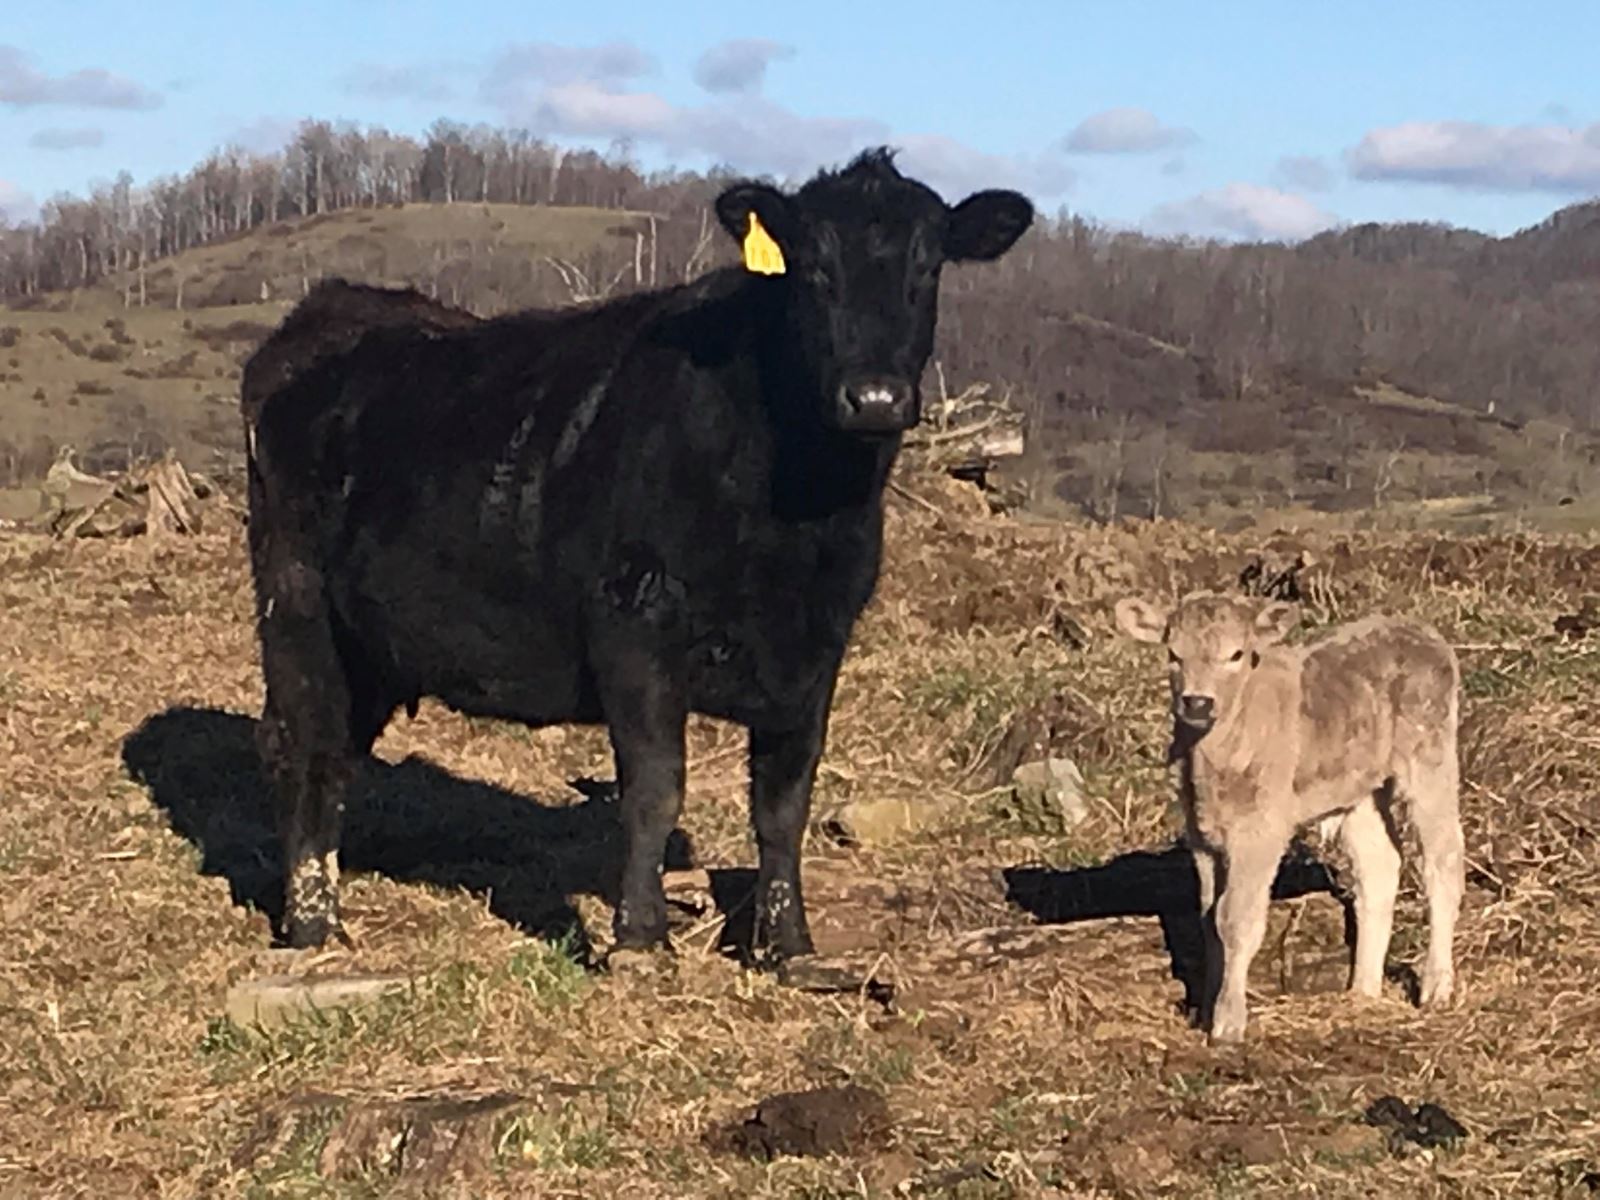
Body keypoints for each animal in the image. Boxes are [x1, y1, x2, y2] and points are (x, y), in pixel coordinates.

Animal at [241, 150, 1030, 966]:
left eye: (928, 266)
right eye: (812, 266)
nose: (873, 397)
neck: (796, 522)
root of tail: (333, 312)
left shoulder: (819, 643)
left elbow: (784, 801)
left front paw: (787, 945)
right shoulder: (634, 619)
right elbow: (657, 785)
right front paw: (641, 939)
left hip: (373, 643)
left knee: (336, 751)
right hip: (296, 602)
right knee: (305, 745)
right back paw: (312, 925)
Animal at [1113, 598, 1465, 1049]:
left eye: (1237, 654)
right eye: (1174, 654)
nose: (1197, 702)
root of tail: (1417, 628)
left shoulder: (1260, 832)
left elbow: (1235, 919)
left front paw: (1228, 1024)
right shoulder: (1202, 837)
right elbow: (1209, 919)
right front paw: (1207, 1011)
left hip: (1429, 758)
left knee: (1443, 862)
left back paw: (1436, 988)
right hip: (1357, 789)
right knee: (1380, 867)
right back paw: (1362, 992)